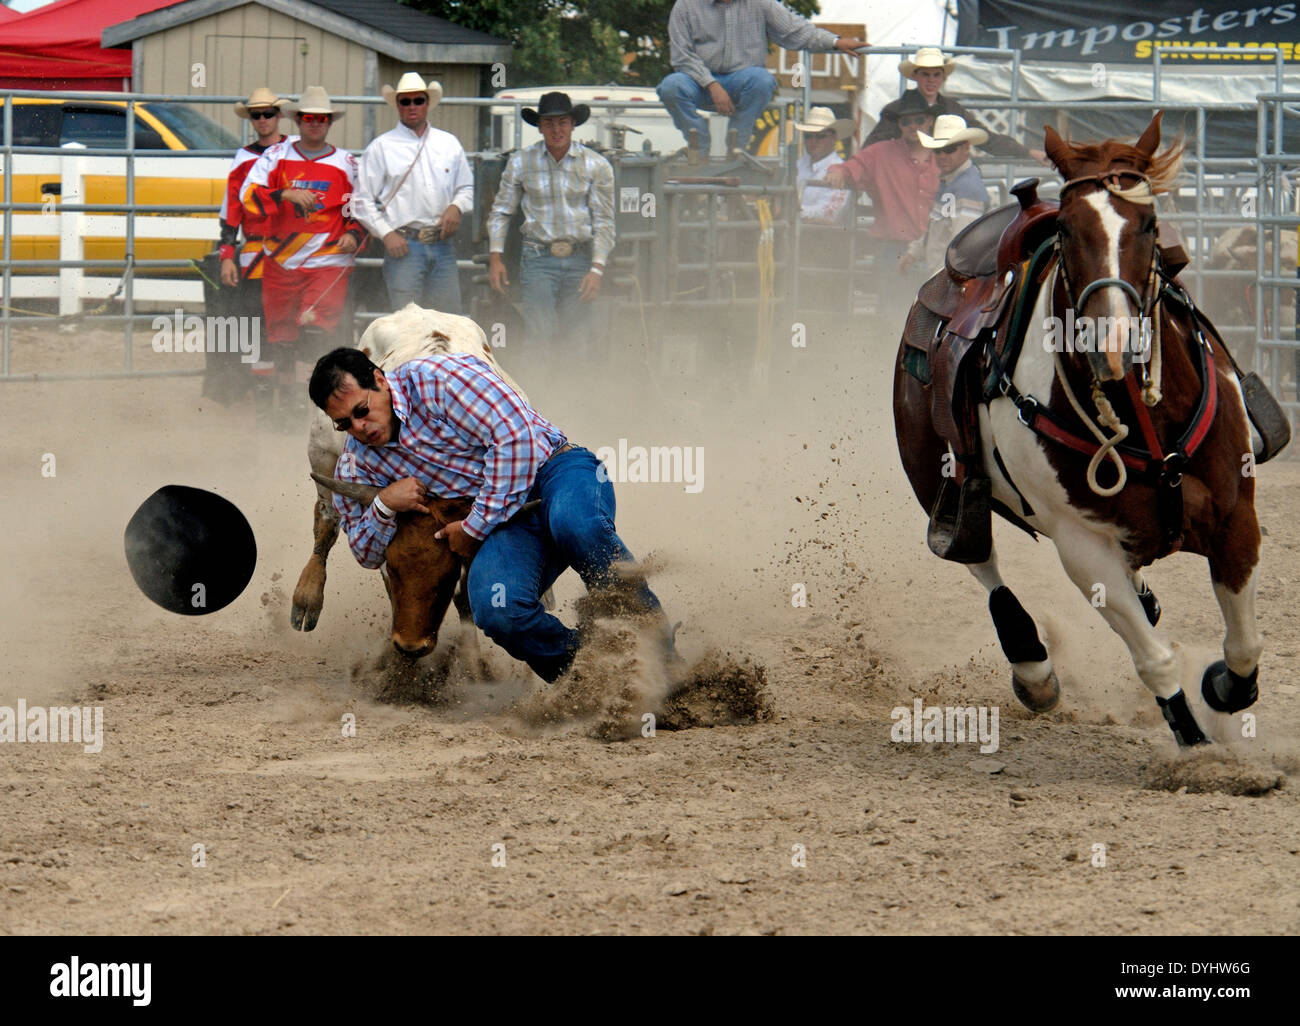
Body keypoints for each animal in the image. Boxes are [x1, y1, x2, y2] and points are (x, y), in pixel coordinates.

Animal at [920, 113, 1263, 743]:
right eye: (1068, 229)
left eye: (1149, 224)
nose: (1113, 344)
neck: (1146, 422)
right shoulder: (1084, 549)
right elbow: (1155, 659)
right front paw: (1195, 743)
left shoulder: (1236, 517)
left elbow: (1244, 646)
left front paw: (1223, 688)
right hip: (940, 481)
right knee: (982, 561)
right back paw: (1034, 669)